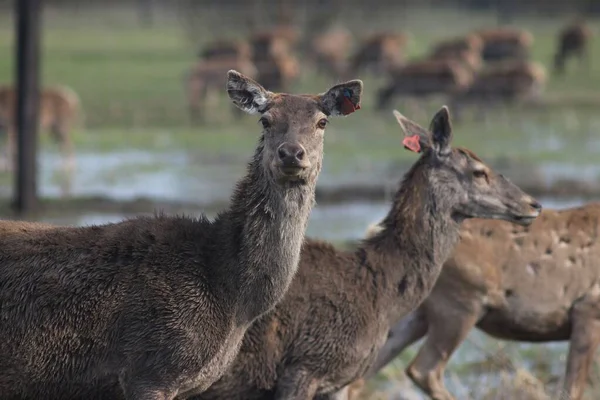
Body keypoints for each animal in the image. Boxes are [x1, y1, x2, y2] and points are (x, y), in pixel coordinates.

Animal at [346, 203, 600, 400]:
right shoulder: (588, 308)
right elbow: (571, 389)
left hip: (415, 314)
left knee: (361, 377)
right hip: (461, 304)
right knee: (424, 369)